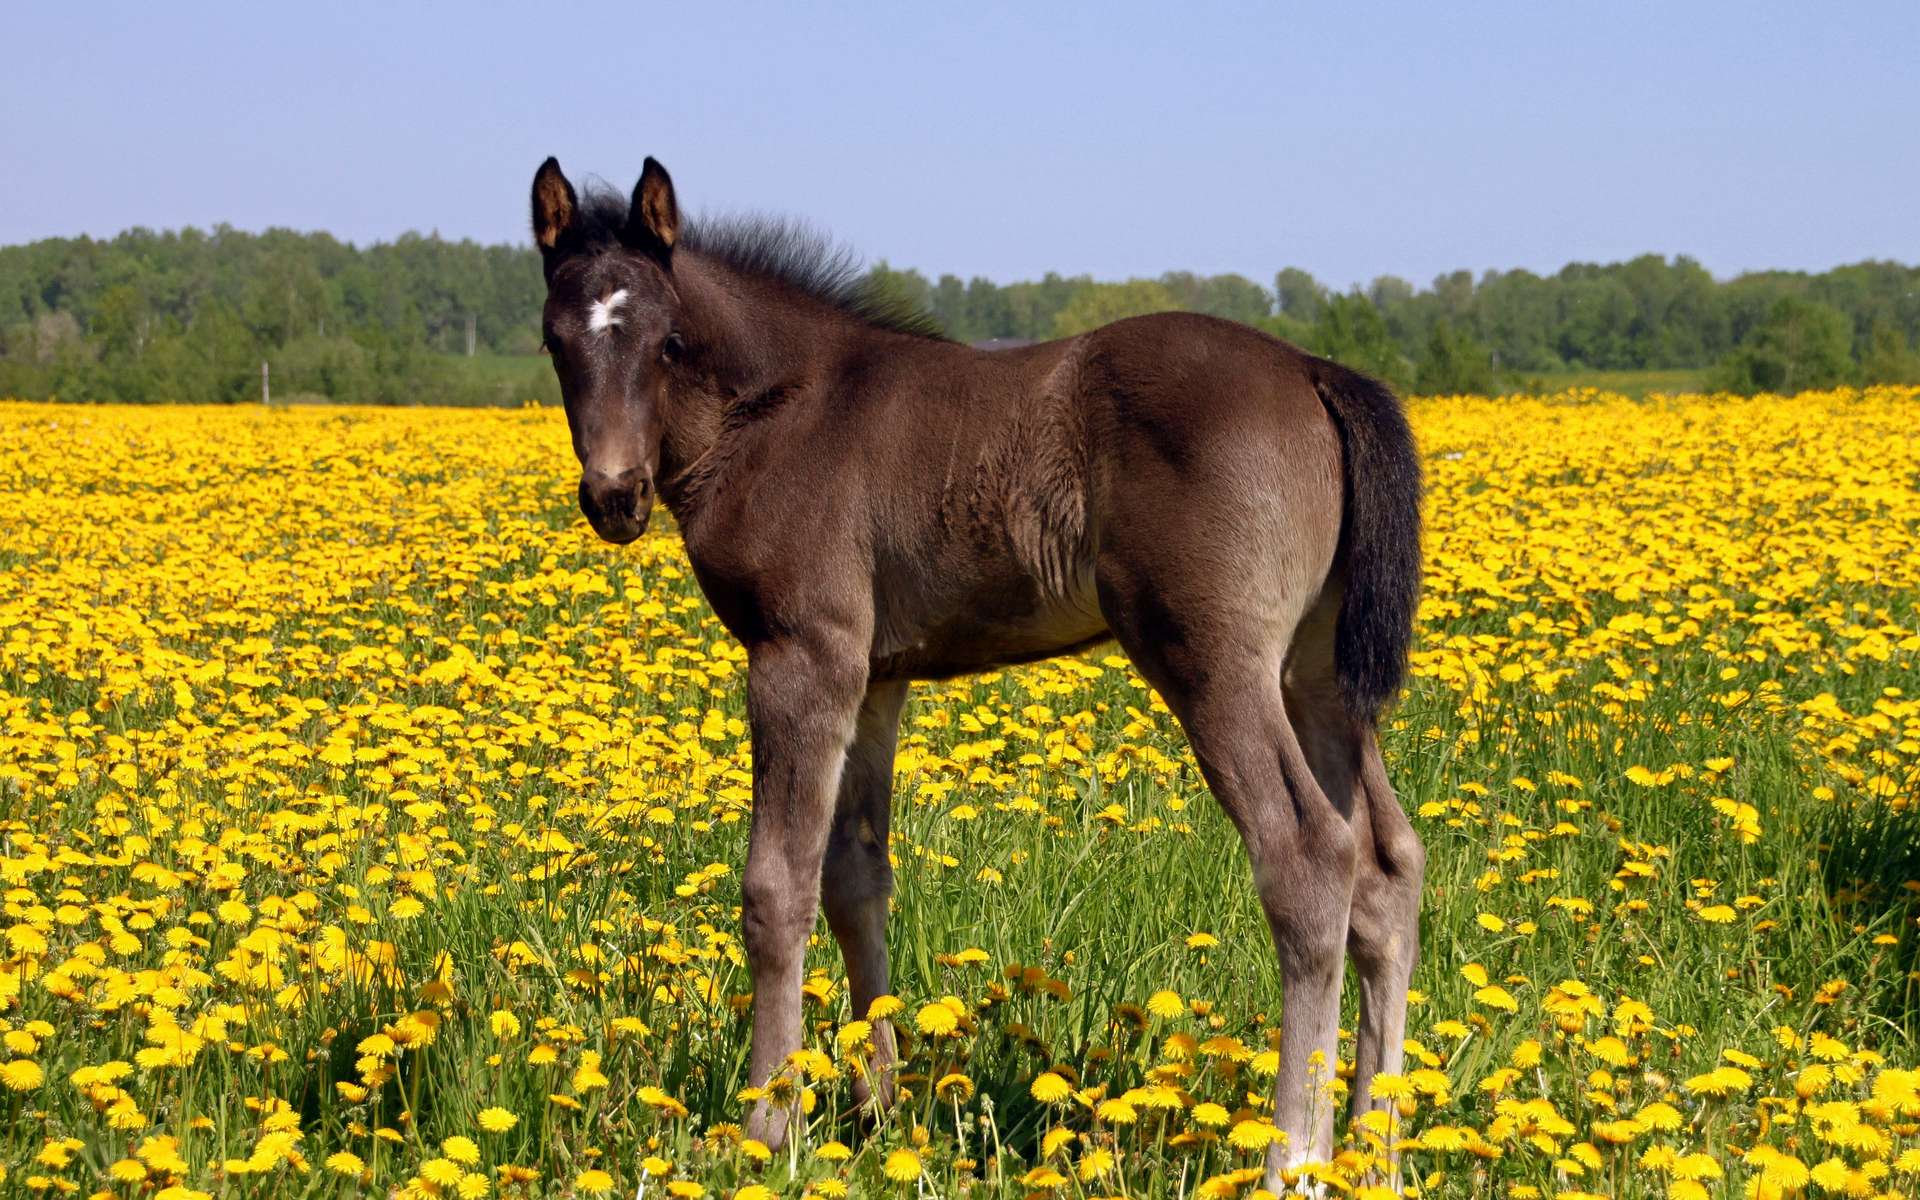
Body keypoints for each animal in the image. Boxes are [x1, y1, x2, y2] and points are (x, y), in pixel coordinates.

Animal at [529, 151, 1428, 1190]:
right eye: (555, 338)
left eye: (668, 342)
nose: (615, 495)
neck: (782, 410)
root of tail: (1317, 371)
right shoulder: (875, 676)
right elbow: (855, 877)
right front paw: (876, 1108)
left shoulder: (801, 655)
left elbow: (775, 888)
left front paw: (767, 1126)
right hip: (1315, 679)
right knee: (1387, 867)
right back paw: (1375, 1152)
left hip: (1213, 662)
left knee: (1310, 857)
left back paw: (1292, 1160)